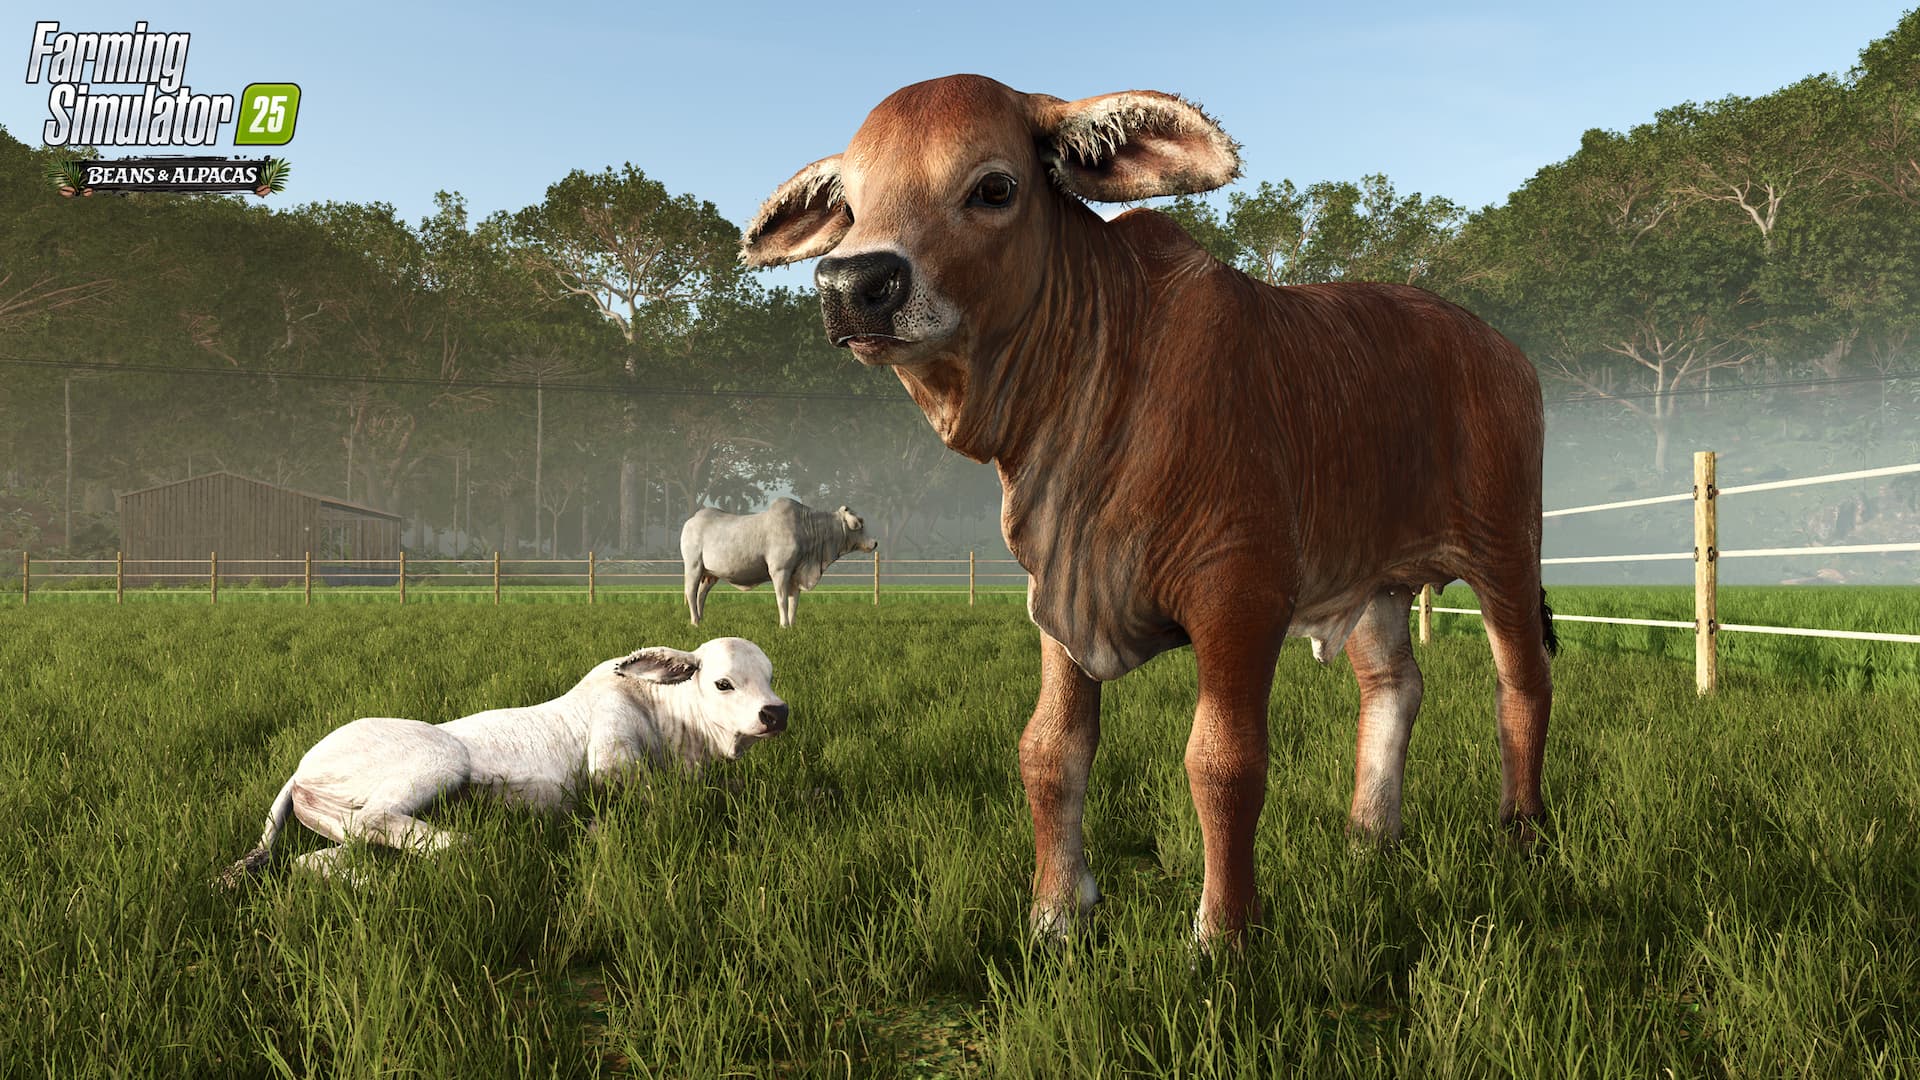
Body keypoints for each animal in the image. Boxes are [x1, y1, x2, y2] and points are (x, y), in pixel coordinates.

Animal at [220, 637, 787, 886]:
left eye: (770, 675)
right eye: (723, 682)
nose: (775, 713)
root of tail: (299, 771)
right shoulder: (610, 756)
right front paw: (592, 831)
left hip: (336, 826)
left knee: (320, 861)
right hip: (439, 759)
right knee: (384, 822)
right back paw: (476, 845)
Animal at [680, 498, 878, 628]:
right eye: (860, 523)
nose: (875, 542)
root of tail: (692, 520)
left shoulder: (795, 575)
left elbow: (794, 602)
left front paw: (792, 625)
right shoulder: (780, 570)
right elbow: (782, 599)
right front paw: (783, 625)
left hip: (710, 574)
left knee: (701, 594)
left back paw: (701, 619)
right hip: (693, 566)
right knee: (691, 592)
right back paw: (694, 622)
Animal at [741, 75, 1557, 947]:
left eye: (994, 188)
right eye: (851, 205)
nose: (852, 286)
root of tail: (1502, 348)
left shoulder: (1240, 595)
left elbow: (1224, 762)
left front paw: (1223, 935)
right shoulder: (1056, 594)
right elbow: (1051, 750)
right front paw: (1056, 914)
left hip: (1506, 548)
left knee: (1522, 682)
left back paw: (1522, 832)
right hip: (1373, 580)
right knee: (1395, 687)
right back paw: (1370, 836)